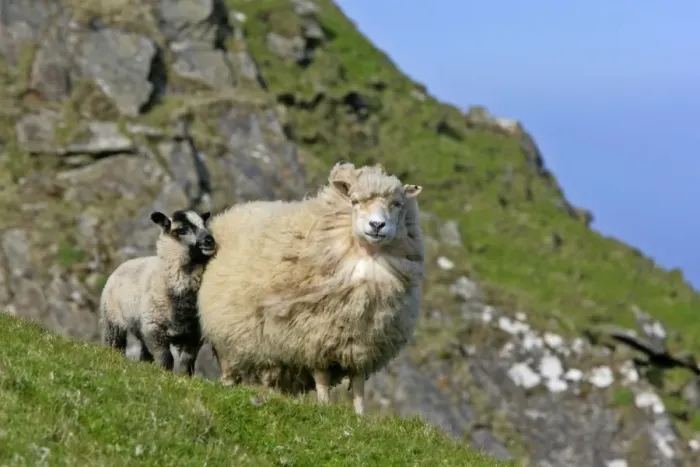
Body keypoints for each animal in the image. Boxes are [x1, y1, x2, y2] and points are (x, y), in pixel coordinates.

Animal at [99, 209, 217, 376]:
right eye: (182, 229)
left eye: (204, 224)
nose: (209, 240)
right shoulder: (154, 329)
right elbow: (165, 358)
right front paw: (164, 373)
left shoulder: (193, 335)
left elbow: (186, 361)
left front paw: (183, 377)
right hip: (112, 319)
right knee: (114, 342)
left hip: (140, 328)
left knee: (144, 351)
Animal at [198, 161, 424, 414]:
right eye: (355, 201)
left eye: (397, 204)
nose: (377, 225)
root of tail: (235, 210)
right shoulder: (314, 338)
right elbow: (322, 379)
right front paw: (324, 408)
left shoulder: (363, 346)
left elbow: (358, 386)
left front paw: (360, 416)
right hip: (226, 338)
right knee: (228, 370)